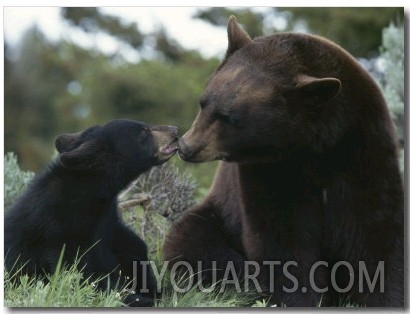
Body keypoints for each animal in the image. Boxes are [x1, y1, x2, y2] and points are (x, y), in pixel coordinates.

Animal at [162, 16, 402, 306]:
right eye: (203, 102)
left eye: (229, 117)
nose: (187, 146)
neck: (314, 145)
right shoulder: (269, 170)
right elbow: (281, 237)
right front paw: (299, 298)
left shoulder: (361, 148)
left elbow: (373, 230)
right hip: (215, 217)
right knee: (192, 242)